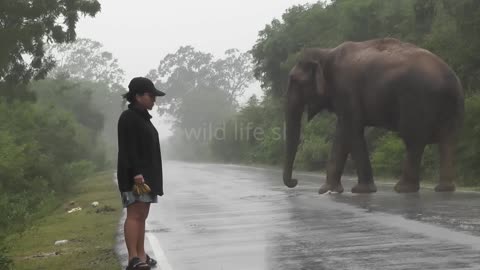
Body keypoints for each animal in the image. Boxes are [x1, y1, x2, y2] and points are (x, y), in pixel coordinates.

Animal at [284, 38, 464, 194]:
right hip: (451, 106)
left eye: (295, 80)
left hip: (417, 99)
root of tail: (450, 80)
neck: (326, 53)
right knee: (448, 140)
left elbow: (352, 130)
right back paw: (444, 189)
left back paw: (403, 189)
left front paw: (361, 191)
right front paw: (328, 190)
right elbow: (342, 133)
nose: (295, 181)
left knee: (413, 139)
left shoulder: (346, 90)